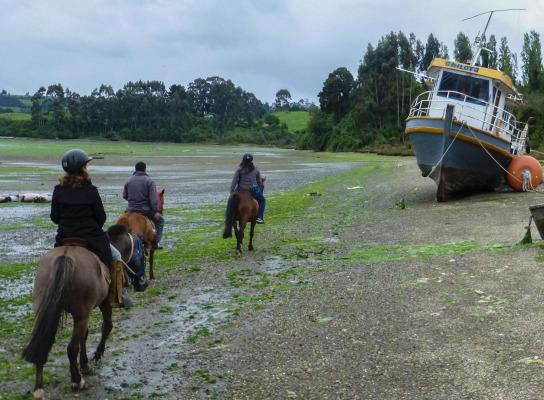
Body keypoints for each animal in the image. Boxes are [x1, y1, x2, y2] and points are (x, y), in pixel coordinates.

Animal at [23, 225, 136, 400]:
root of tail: (65, 256)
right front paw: (96, 355)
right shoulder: (103, 305)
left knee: (42, 341)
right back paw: (77, 381)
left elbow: (85, 335)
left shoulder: (85, 313)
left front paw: (85, 364)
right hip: (82, 314)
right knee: (71, 348)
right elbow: (107, 326)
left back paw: (39, 388)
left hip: (46, 311)